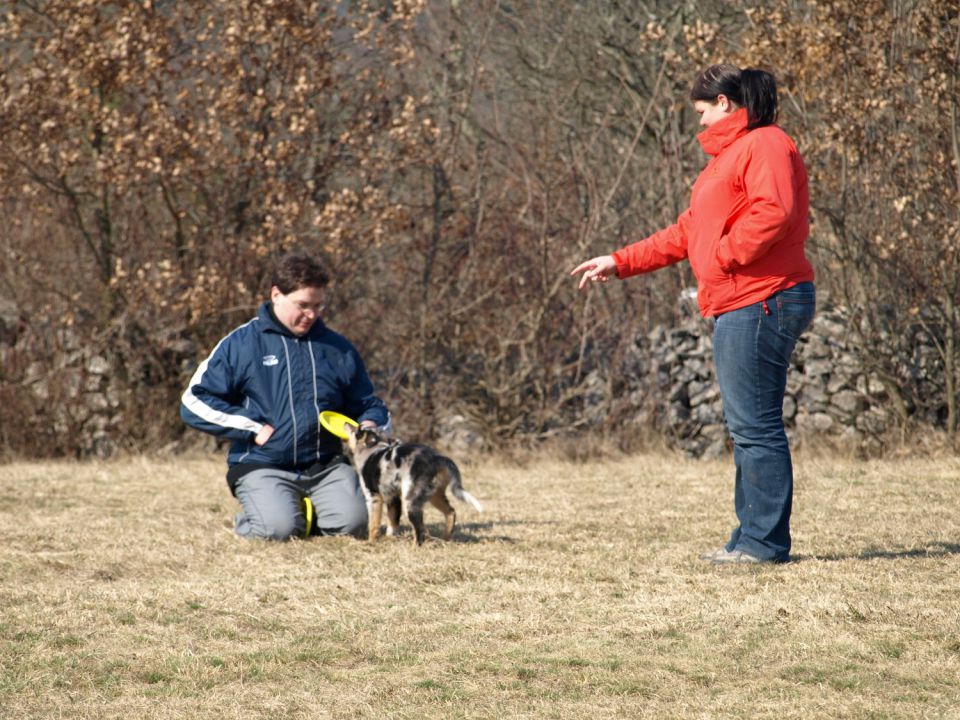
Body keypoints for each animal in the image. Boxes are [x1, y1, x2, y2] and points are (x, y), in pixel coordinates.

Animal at [344, 422, 484, 544]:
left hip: (411, 501)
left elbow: (373, 524)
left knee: (420, 530)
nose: (346, 423)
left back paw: (415, 547)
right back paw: (446, 539)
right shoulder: (393, 497)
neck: (372, 449)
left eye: (356, 430)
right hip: (435, 496)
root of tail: (436, 457)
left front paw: (370, 542)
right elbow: (393, 522)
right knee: (450, 512)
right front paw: (389, 539)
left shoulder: (373, 497)